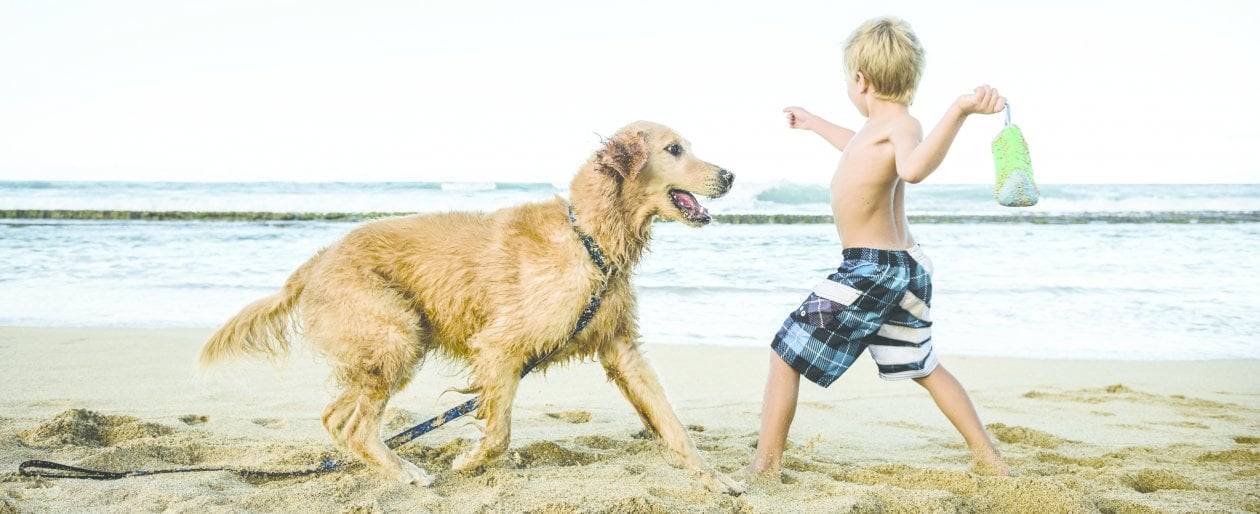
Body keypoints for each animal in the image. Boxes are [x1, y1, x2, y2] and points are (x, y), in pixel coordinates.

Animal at [200, 121, 740, 493]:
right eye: (674, 149)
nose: (731, 175)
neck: (589, 240)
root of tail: (315, 262)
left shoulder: (622, 349)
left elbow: (673, 425)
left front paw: (717, 480)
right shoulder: (501, 346)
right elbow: (499, 432)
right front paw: (470, 461)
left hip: (381, 345)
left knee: (336, 418)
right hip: (399, 336)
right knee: (356, 426)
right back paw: (407, 472)